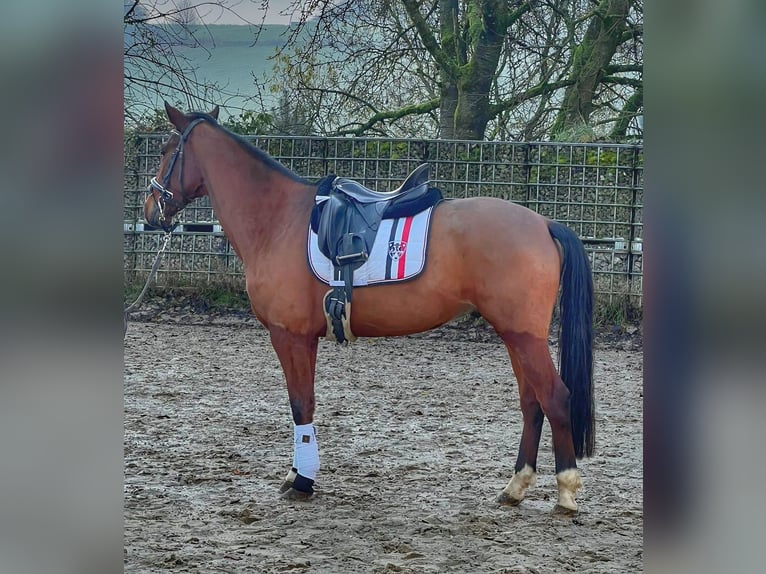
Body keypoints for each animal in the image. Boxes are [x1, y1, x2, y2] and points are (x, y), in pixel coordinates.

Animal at [146, 102, 600, 512]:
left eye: (167, 149)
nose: (151, 210)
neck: (278, 220)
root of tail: (543, 224)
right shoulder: (303, 338)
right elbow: (304, 401)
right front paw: (298, 474)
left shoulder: (289, 336)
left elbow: (300, 403)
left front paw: (302, 479)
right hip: (515, 335)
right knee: (532, 403)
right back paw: (515, 486)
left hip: (524, 336)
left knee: (555, 398)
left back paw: (566, 490)